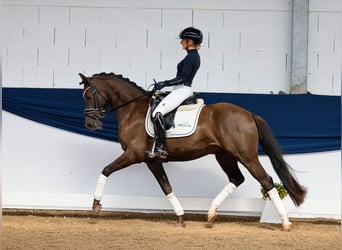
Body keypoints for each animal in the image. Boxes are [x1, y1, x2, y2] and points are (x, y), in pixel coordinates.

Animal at [79, 72, 306, 230]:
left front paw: (96, 205)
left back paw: (285, 223)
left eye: (88, 96)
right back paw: (211, 213)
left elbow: (106, 170)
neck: (133, 110)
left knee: (266, 180)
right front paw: (180, 217)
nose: (90, 125)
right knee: (236, 178)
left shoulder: (133, 155)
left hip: (246, 156)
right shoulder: (152, 160)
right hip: (224, 155)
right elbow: (166, 186)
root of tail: (249, 114)